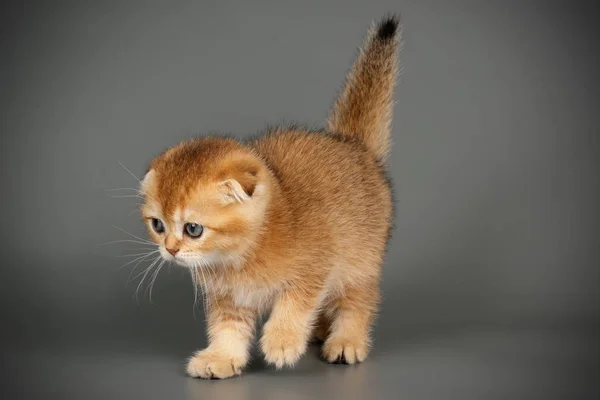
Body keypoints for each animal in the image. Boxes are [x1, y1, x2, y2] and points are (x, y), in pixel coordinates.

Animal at [140, 15, 400, 378]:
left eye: (193, 229)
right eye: (158, 226)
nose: (171, 250)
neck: (243, 253)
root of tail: (352, 144)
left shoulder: (317, 265)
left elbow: (295, 303)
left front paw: (283, 341)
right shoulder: (230, 298)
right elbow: (228, 328)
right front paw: (222, 357)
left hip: (359, 260)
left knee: (357, 301)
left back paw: (345, 340)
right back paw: (321, 330)